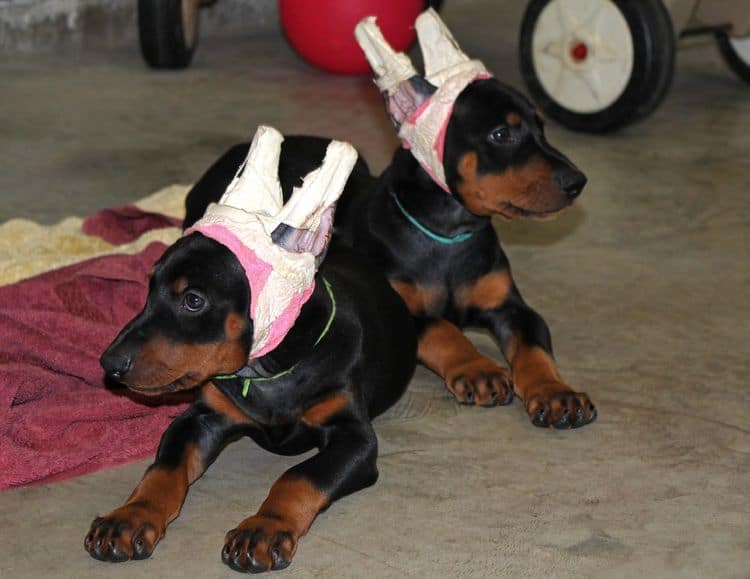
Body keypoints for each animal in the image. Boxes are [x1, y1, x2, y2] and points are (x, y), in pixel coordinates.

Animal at [88, 128, 420, 576]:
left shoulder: (354, 436)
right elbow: (164, 467)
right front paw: (130, 517)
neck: (269, 370)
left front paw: (264, 528)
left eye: (193, 300)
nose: (109, 364)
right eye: (150, 288)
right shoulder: (203, 417)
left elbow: (298, 476)